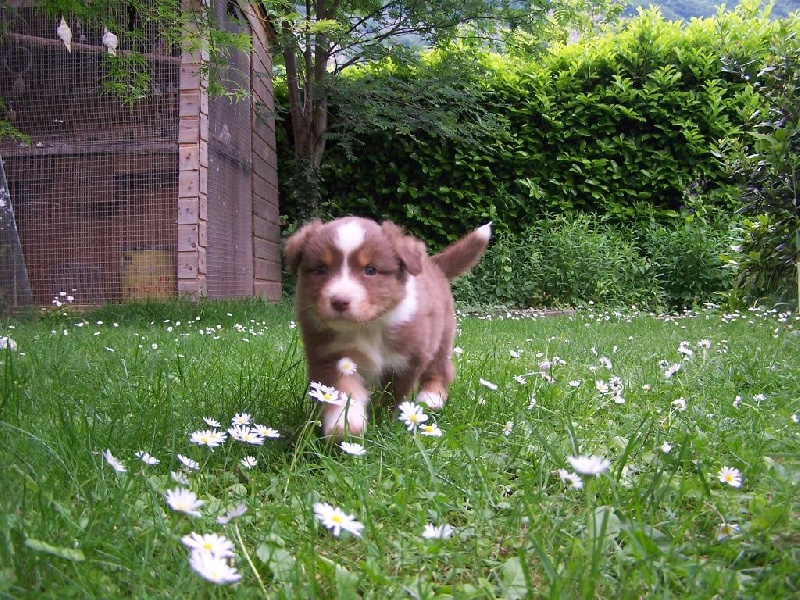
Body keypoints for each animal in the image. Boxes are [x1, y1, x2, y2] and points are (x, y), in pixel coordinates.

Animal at [285, 216, 491, 438]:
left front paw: (386, 420)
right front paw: (345, 425)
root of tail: (432, 264)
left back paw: (430, 397)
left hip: (441, 337)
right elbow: (343, 391)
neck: (367, 327)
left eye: (370, 270)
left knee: (440, 369)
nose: (339, 301)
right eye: (321, 269)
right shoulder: (331, 357)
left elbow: (395, 396)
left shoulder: (407, 360)